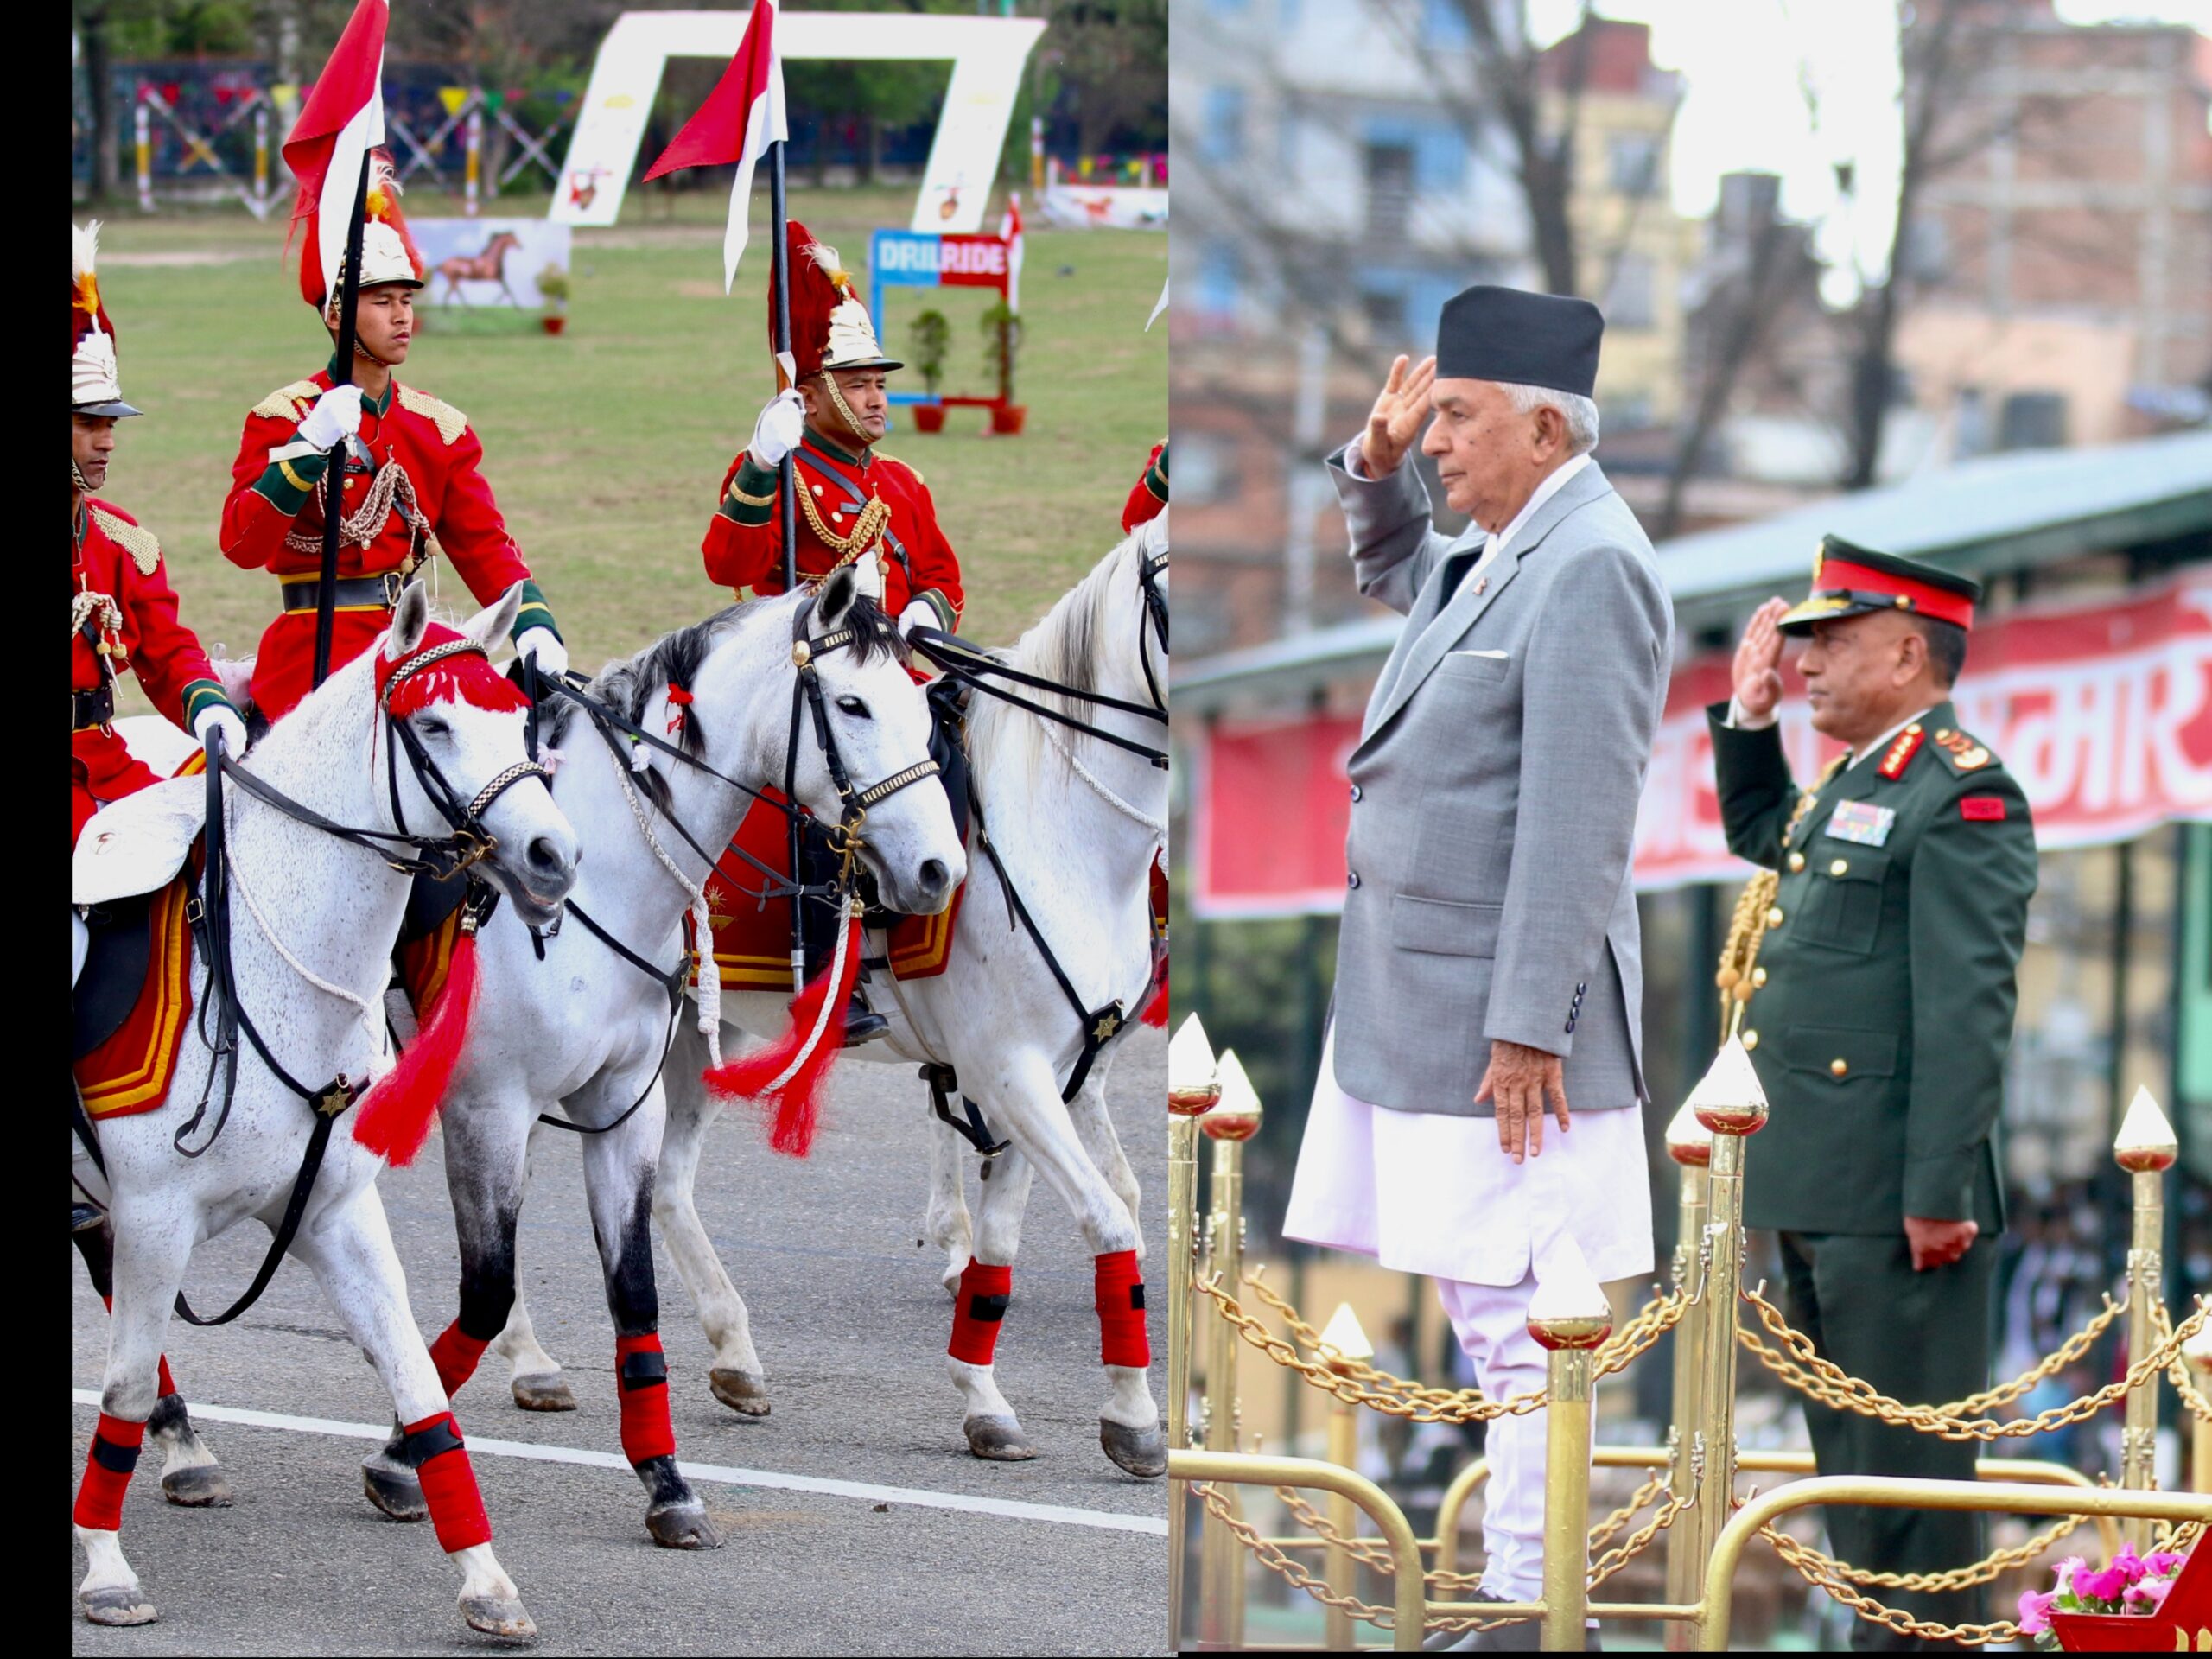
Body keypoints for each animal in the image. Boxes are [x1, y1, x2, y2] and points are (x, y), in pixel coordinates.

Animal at [72, 588, 579, 1637]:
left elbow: (419, 1385)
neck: (264, 967)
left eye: (520, 719)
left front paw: (486, 1581)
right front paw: (105, 1569)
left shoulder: (336, 1214)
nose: (555, 854)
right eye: (433, 724)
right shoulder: (153, 1215)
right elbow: (125, 1385)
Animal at [362, 570, 969, 1548]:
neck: (597, 882)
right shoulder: (488, 1107)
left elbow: (634, 1295)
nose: (938, 871)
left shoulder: (621, 1109)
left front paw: (667, 1482)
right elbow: (483, 1288)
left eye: (924, 709)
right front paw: (398, 1457)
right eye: (850, 703)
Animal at [486, 522, 1176, 1478]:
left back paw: (733, 1355)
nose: (936, 874)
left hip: (689, 1043)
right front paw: (1134, 1417)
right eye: (849, 707)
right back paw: (526, 1358)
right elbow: (1111, 1223)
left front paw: (987, 1399)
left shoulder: (1051, 1076)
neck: (1060, 826)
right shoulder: (1011, 1073)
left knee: (666, 1188)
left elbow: (1008, 1251)